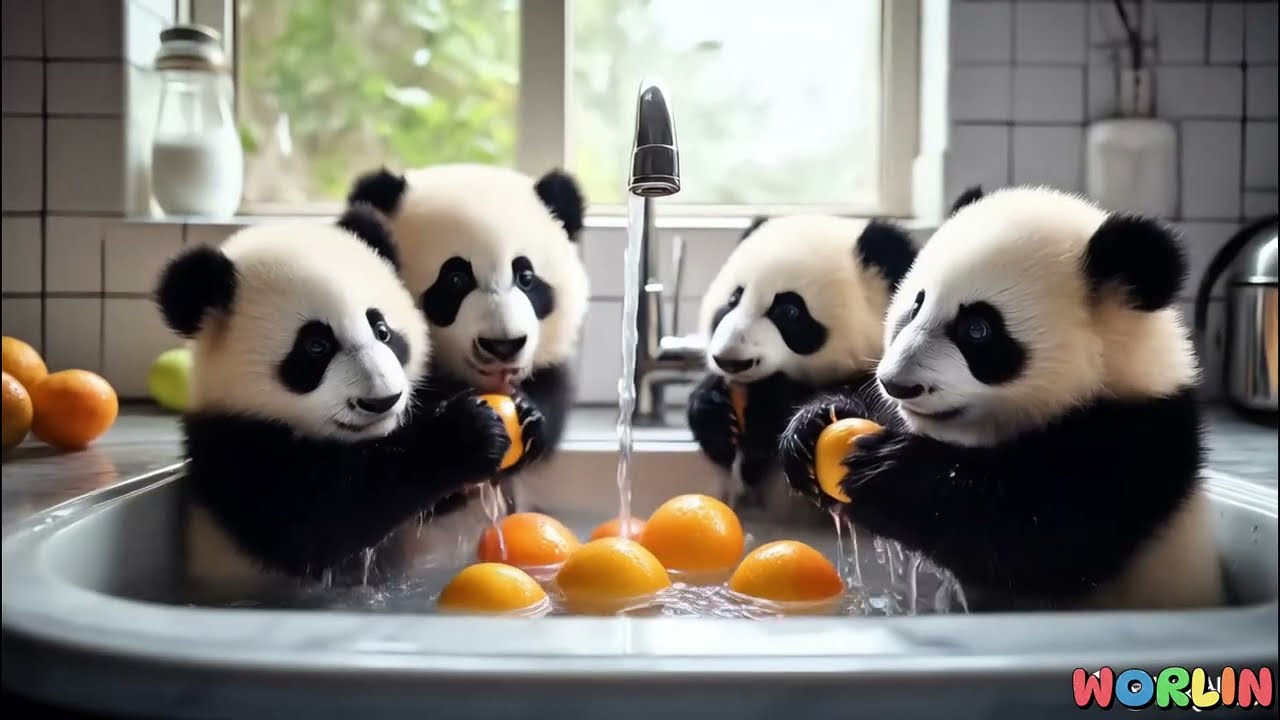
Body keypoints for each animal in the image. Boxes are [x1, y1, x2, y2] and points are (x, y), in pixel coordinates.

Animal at [154, 207, 535, 590]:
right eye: (315, 346)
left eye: (382, 331)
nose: (383, 401)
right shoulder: (236, 449)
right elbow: (318, 524)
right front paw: (465, 434)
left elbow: (435, 502)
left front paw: (527, 419)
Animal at [344, 163, 590, 513]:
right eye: (456, 279)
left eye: (526, 277)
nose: (503, 345)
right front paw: (466, 437)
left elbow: (552, 387)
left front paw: (530, 416)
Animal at [779, 186, 1225, 611]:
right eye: (915, 305)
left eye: (978, 329)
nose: (897, 385)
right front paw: (813, 426)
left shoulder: (1137, 448)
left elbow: (1041, 539)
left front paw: (889, 474)